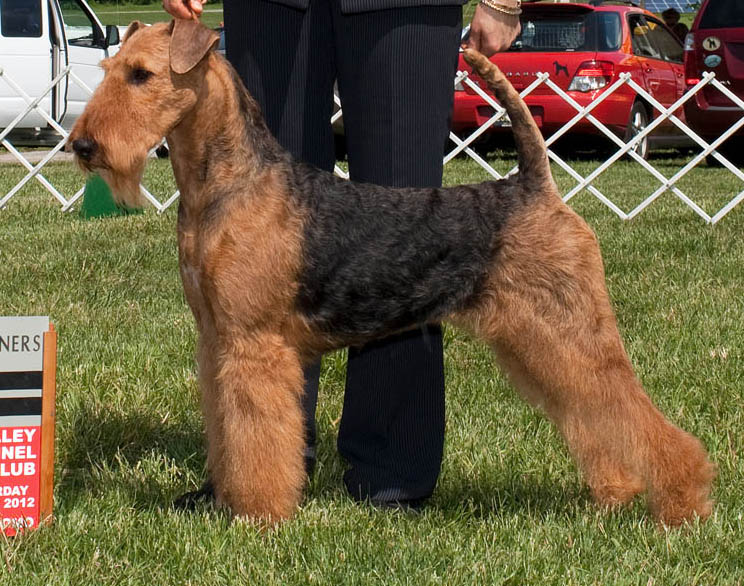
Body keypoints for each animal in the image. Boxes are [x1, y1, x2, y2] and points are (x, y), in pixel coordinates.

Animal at [71, 19, 716, 524]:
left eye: (142, 75)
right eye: (110, 69)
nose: (81, 145)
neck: (227, 184)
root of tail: (535, 186)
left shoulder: (254, 345)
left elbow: (255, 436)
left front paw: (256, 514)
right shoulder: (217, 341)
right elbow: (226, 429)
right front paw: (224, 499)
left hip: (569, 328)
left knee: (630, 409)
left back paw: (683, 501)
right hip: (536, 337)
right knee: (592, 414)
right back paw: (615, 492)